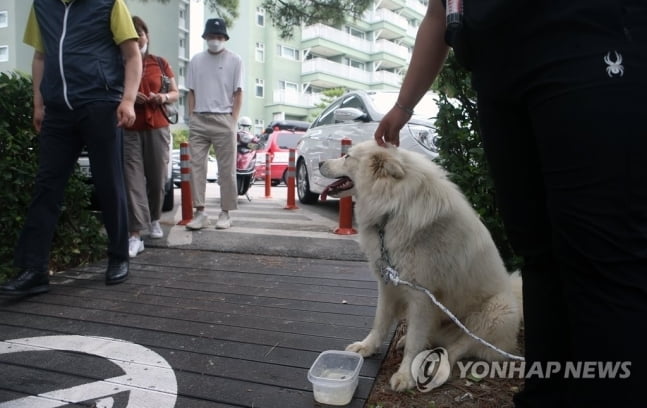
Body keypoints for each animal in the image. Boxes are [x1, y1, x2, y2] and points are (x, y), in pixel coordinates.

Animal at [320, 141, 528, 392]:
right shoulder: (388, 284)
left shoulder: (421, 296)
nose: (319, 162)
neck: (393, 208)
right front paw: (367, 347)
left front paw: (405, 376)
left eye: (347, 156)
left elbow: (414, 341)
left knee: (456, 348)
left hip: (498, 311)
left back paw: (436, 367)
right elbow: (380, 321)